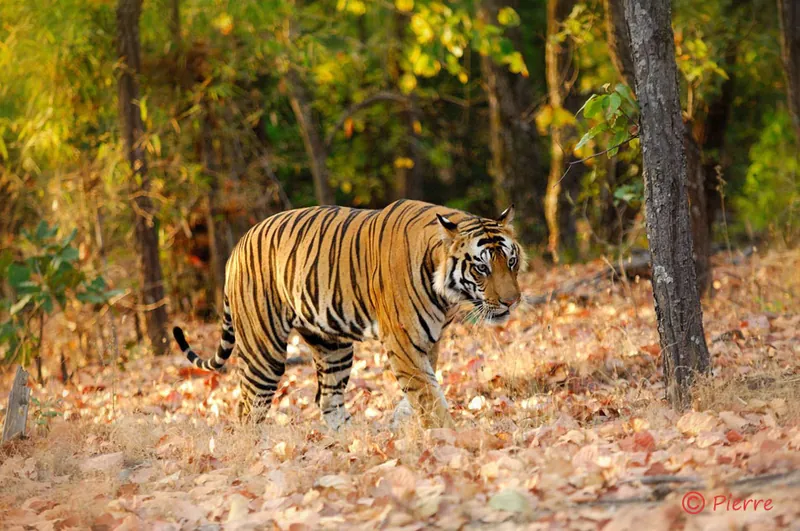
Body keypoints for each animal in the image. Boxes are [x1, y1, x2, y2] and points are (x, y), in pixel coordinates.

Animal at [173, 199, 525, 430]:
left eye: (510, 261)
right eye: (481, 268)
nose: (512, 301)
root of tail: (237, 247)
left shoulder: (429, 339)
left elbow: (427, 383)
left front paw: (402, 417)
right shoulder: (403, 340)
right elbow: (426, 392)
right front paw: (447, 435)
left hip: (332, 346)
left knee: (327, 400)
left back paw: (348, 444)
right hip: (264, 351)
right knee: (248, 409)